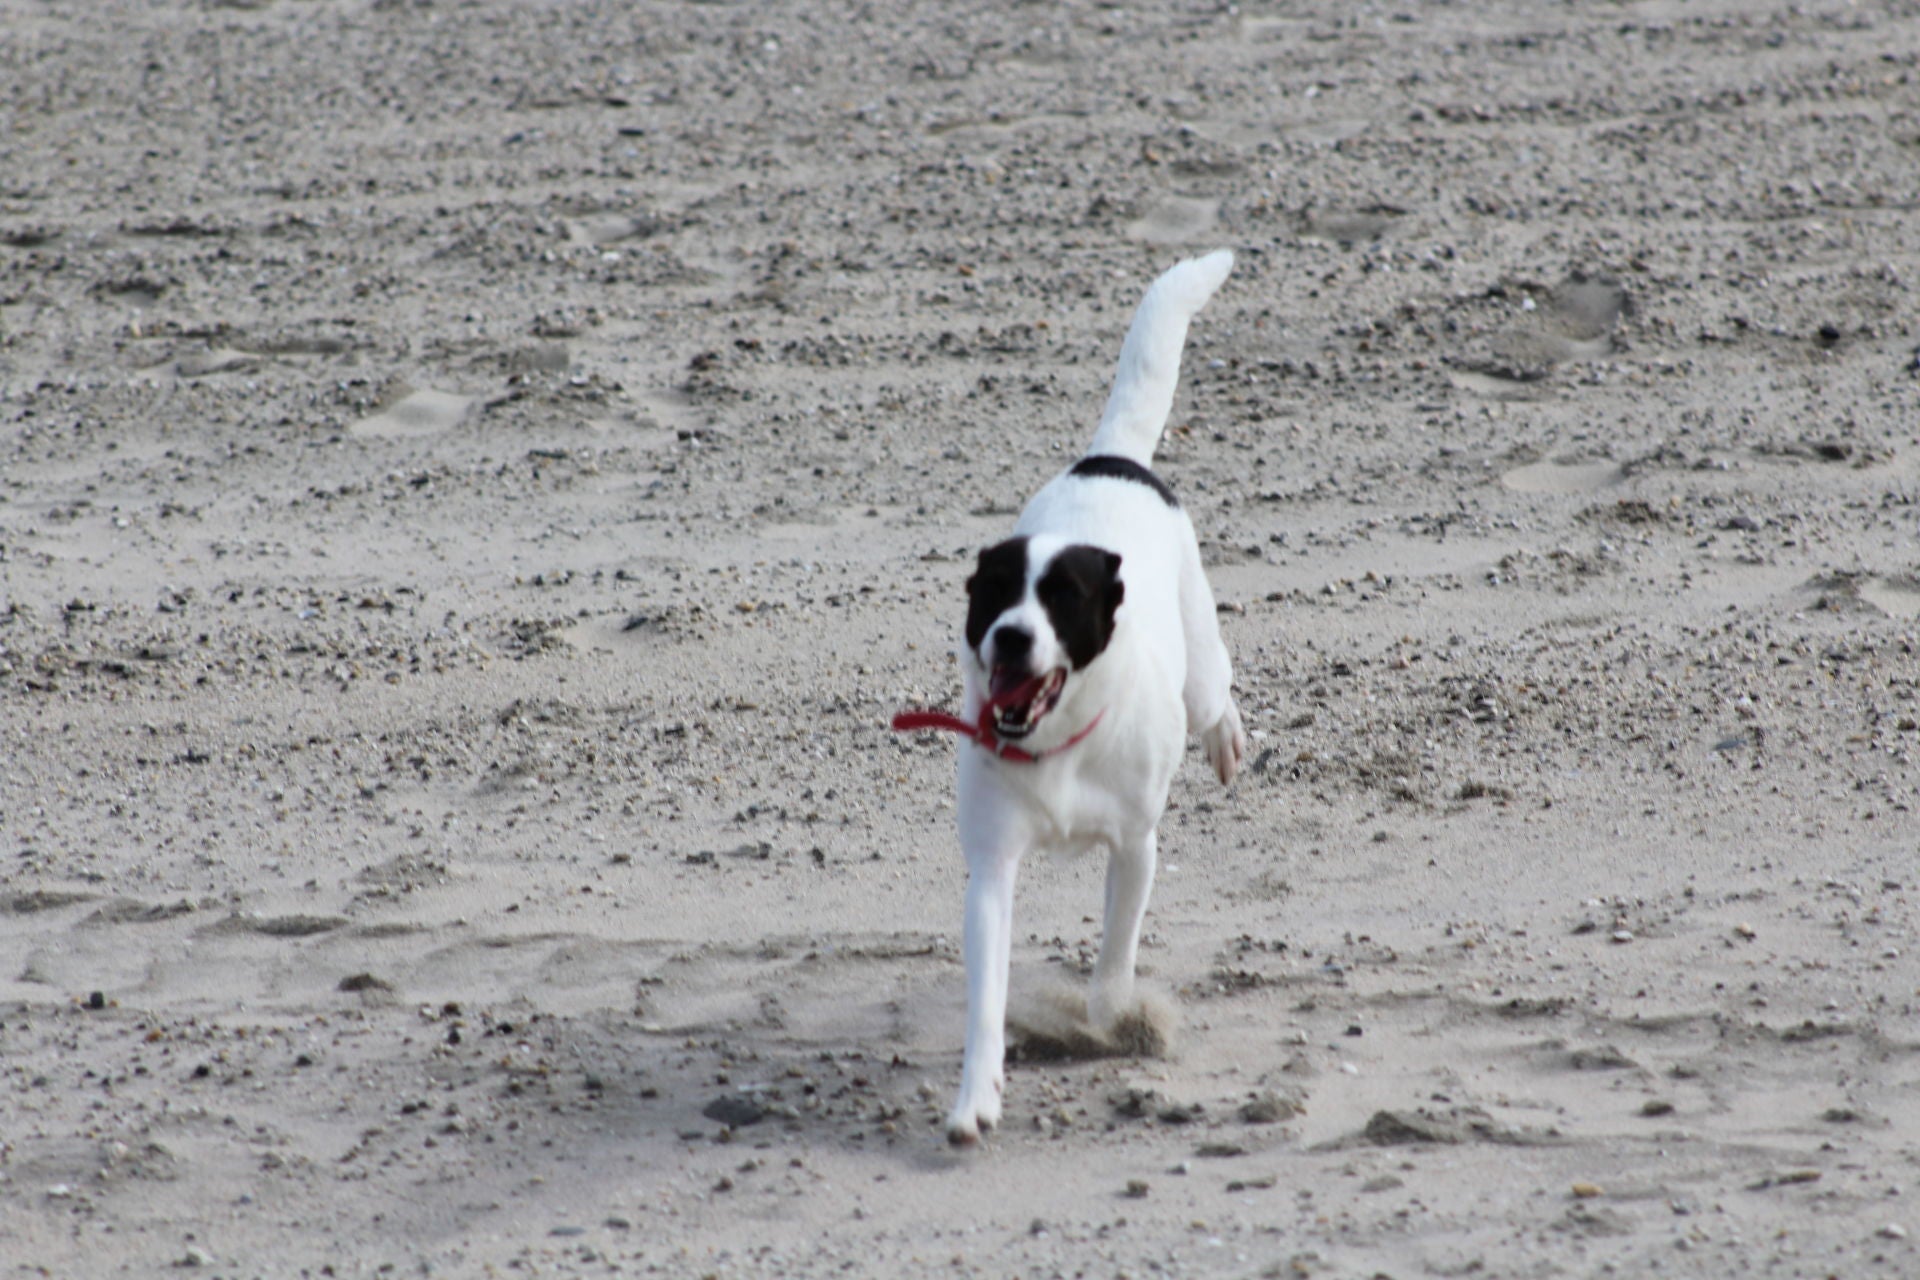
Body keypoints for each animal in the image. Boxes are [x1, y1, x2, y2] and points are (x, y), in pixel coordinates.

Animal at [894, 249, 1247, 1145]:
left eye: (1062, 600)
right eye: (992, 594)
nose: (1011, 638)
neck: (1058, 743)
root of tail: (1112, 460)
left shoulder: (1135, 849)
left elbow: (1114, 957)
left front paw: (1116, 1021)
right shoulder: (991, 869)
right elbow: (986, 996)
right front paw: (976, 1097)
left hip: (1199, 658)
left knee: (1215, 690)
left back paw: (1225, 735)